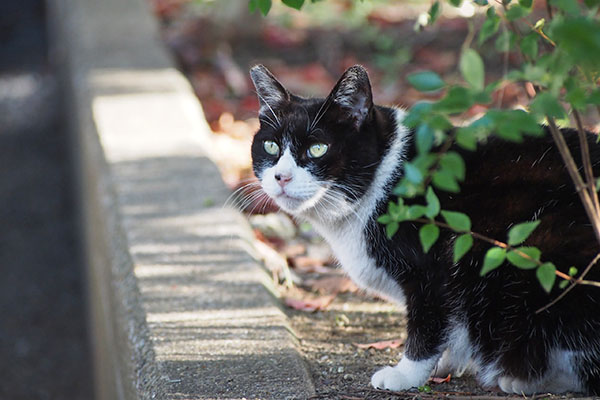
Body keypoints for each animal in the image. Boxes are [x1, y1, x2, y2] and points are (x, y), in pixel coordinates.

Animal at [247, 64, 600, 396]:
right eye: (271, 147)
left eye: (317, 148)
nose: (281, 177)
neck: (384, 178)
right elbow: (452, 327)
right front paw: (447, 362)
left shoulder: (436, 266)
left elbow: (427, 324)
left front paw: (406, 374)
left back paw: (522, 377)